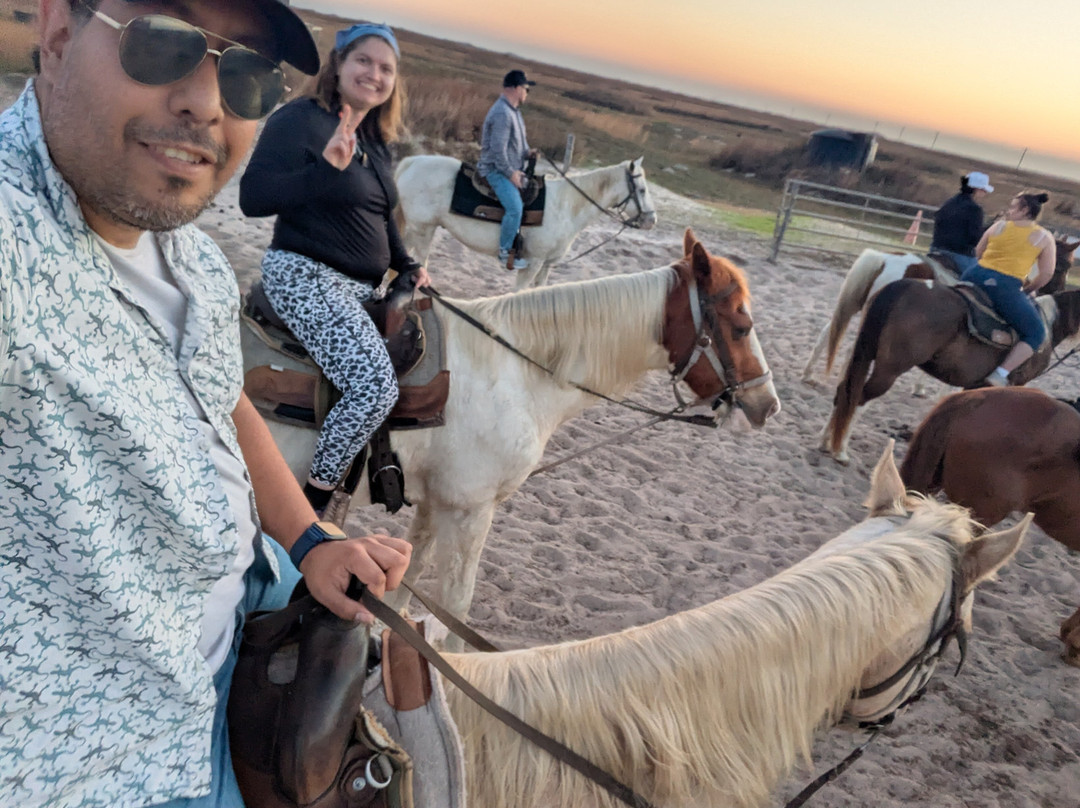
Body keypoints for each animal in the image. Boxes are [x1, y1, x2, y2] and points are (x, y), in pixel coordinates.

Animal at [244, 230, 780, 626]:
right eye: (741, 325)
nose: (767, 405)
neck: (515, 370)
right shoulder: (471, 509)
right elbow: (456, 604)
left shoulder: (438, 503)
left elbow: (410, 579)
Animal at [394, 155, 657, 290]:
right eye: (642, 190)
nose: (651, 220)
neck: (566, 207)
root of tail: (412, 162)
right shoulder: (533, 262)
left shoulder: (547, 265)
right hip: (423, 230)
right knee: (420, 263)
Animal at [800, 236, 1080, 387]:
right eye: (1064, 265)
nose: (1059, 289)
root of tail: (887, 258)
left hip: (858, 305)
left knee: (829, 331)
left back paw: (808, 374)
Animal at [820, 279, 1080, 464]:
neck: (1049, 325)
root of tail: (904, 286)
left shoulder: (975, 386)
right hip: (888, 370)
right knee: (859, 399)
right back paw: (840, 450)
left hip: (865, 353)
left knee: (844, 392)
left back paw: (825, 442)